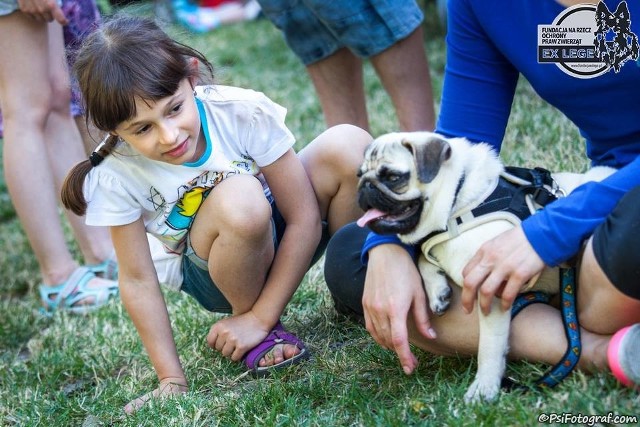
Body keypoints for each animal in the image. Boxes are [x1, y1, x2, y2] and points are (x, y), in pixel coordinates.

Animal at [358, 132, 612, 402]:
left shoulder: (493, 286)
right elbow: (422, 258)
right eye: (358, 174)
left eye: (393, 178)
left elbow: (489, 345)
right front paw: (437, 291)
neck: (457, 205)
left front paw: (485, 385)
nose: (365, 185)